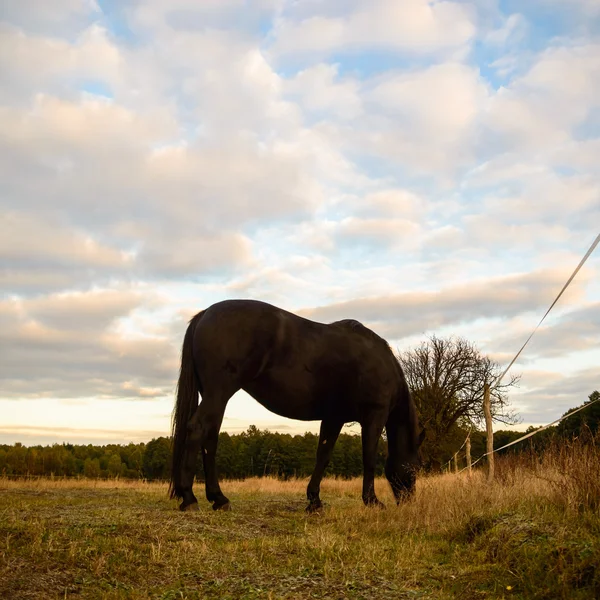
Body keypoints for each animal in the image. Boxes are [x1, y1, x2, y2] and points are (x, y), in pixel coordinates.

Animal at [168, 298, 422, 510]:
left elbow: (323, 455)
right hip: (218, 393)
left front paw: (314, 500)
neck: (381, 363)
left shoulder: (334, 417)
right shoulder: (373, 417)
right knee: (198, 429)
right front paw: (372, 501)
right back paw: (189, 498)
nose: (409, 503)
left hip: (215, 397)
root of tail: (205, 313)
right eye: (415, 467)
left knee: (210, 438)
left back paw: (218, 499)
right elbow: (368, 459)